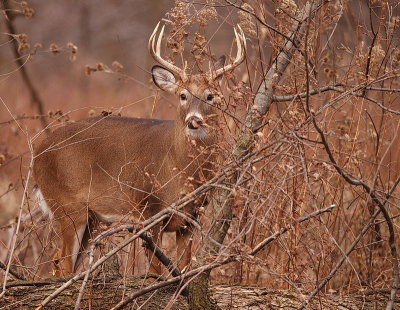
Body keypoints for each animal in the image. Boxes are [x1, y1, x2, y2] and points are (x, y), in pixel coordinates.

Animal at [33, 23, 247, 276]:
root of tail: (37, 153)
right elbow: (155, 272)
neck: (180, 170)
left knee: (59, 260)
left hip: (91, 218)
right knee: (63, 262)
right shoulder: (148, 209)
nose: (194, 121)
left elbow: (183, 267)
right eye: (183, 95)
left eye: (210, 96)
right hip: (67, 206)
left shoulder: (190, 218)